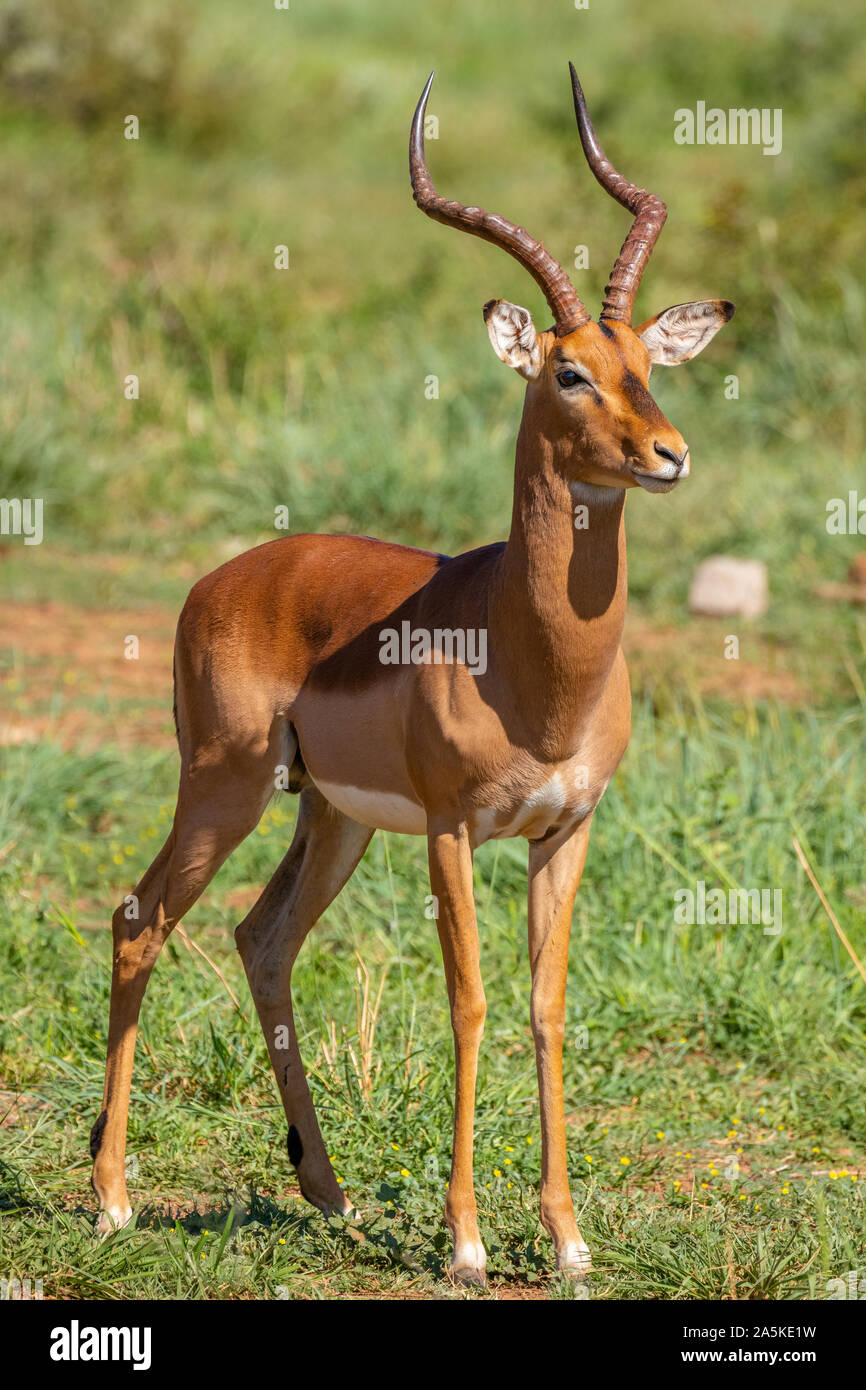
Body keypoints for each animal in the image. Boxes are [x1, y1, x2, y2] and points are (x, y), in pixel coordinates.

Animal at [91, 65, 734, 1285]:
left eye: (646, 366)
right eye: (569, 372)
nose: (670, 455)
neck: (535, 668)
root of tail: (220, 577)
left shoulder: (564, 830)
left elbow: (545, 1004)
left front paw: (567, 1240)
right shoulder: (450, 827)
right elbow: (470, 1002)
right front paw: (468, 1243)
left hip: (329, 817)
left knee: (262, 940)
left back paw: (330, 1195)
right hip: (226, 788)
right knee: (140, 918)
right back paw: (109, 1202)